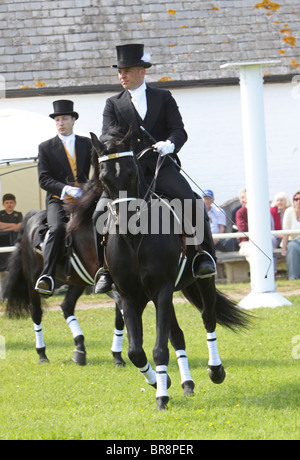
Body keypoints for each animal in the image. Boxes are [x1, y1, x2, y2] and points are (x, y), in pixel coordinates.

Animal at [3, 179, 125, 366]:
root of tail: (33, 216)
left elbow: (120, 315)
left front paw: (118, 355)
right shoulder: (105, 281)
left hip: (77, 280)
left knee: (67, 306)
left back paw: (80, 349)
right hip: (33, 280)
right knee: (36, 312)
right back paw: (42, 354)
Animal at [89, 128, 251, 410]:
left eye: (132, 172)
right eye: (103, 177)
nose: (127, 222)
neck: (135, 240)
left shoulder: (162, 290)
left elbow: (159, 349)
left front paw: (162, 396)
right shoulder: (130, 295)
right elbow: (136, 351)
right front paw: (160, 383)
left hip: (201, 282)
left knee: (208, 319)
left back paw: (215, 370)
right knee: (177, 335)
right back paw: (187, 384)